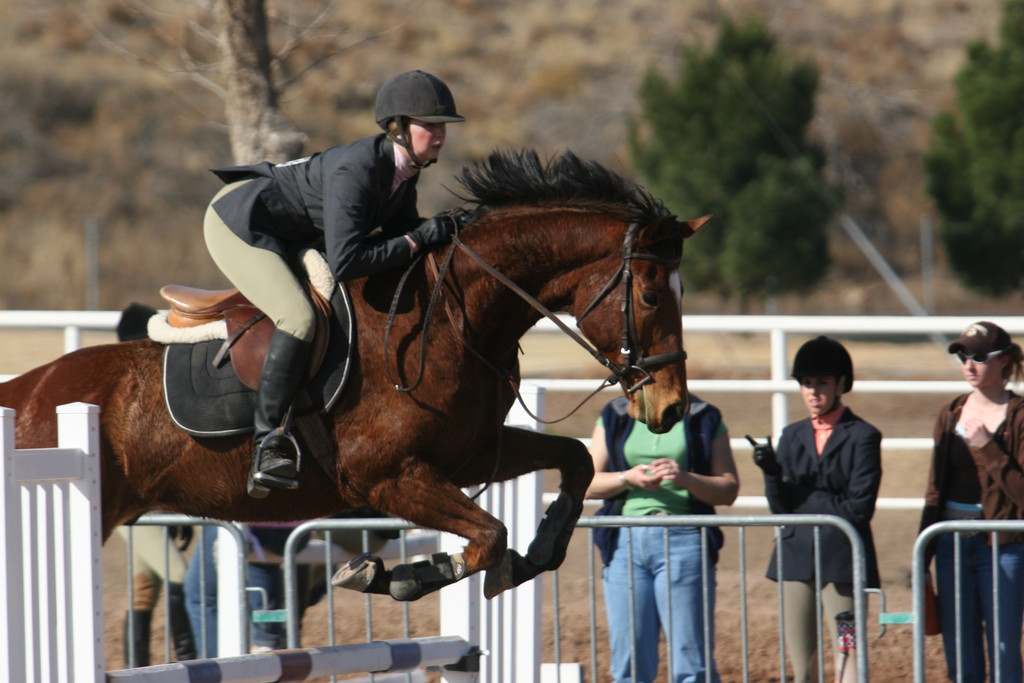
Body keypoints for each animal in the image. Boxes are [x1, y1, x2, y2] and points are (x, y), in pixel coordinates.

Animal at [0, 148, 708, 598]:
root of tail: (27, 392)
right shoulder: (387, 476)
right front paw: (393, 576)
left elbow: (574, 464)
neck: (450, 316)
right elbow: (486, 536)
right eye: (651, 296)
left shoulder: (467, 457)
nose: (671, 408)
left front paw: (536, 556)